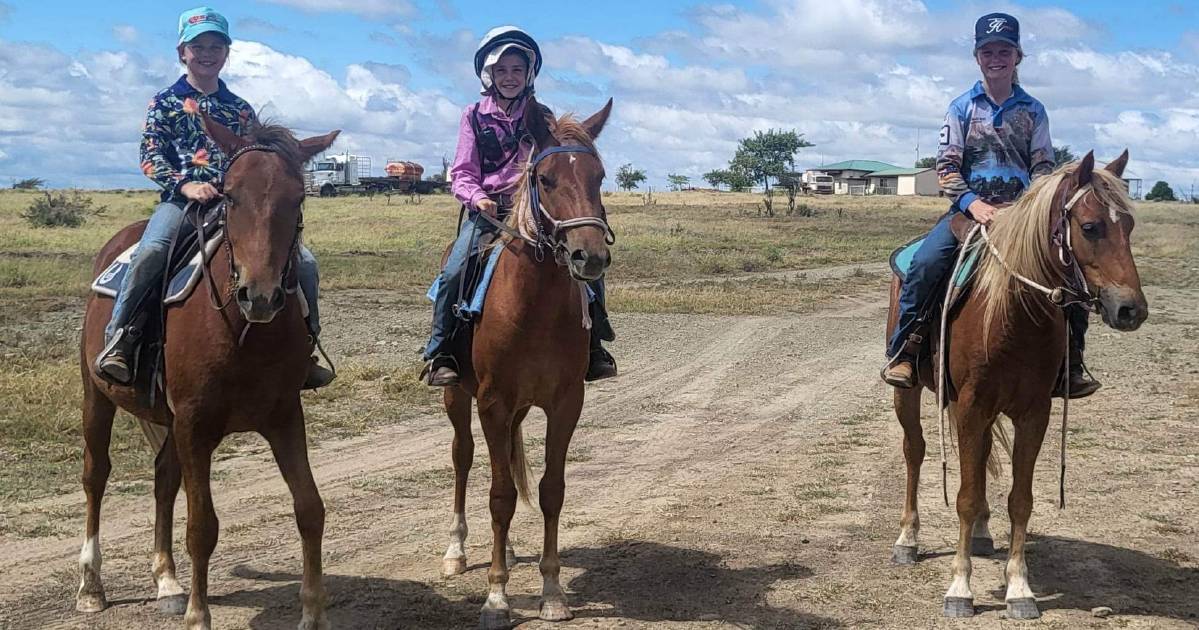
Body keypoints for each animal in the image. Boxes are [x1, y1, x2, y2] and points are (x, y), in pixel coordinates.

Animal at [76, 114, 338, 628]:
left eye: (298, 198)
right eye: (230, 195)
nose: (260, 295)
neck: (243, 332)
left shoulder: (283, 417)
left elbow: (309, 508)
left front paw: (314, 612)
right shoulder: (195, 424)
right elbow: (202, 527)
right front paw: (199, 615)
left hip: (170, 422)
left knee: (163, 480)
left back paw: (167, 581)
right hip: (97, 397)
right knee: (96, 476)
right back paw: (92, 586)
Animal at [436, 96, 613, 624]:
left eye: (599, 176)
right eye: (547, 179)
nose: (589, 257)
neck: (533, 305)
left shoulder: (565, 403)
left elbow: (551, 491)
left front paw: (551, 592)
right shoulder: (492, 403)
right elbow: (499, 496)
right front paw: (496, 597)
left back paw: (511, 551)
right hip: (458, 398)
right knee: (463, 459)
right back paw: (456, 551)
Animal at [887, 152, 1146, 619]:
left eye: (1130, 225)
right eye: (1090, 227)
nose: (1131, 310)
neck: (1011, 311)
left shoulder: (1031, 412)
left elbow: (1019, 499)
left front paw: (1020, 589)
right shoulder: (971, 407)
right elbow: (965, 496)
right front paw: (959, 588)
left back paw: (982, 535)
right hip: (909, 392)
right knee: (914, 451)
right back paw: (907, 540)